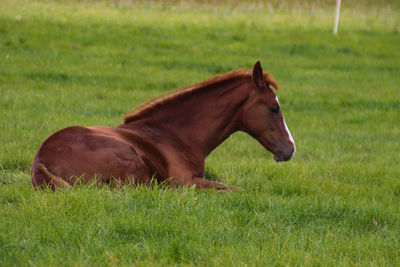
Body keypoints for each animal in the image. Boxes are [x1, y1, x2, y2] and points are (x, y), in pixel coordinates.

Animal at [30, 61, 294, 192]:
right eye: (274, 108)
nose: (290, 149)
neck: (177, 136)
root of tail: (41, 160)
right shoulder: (184, 181)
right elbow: (235, 190)